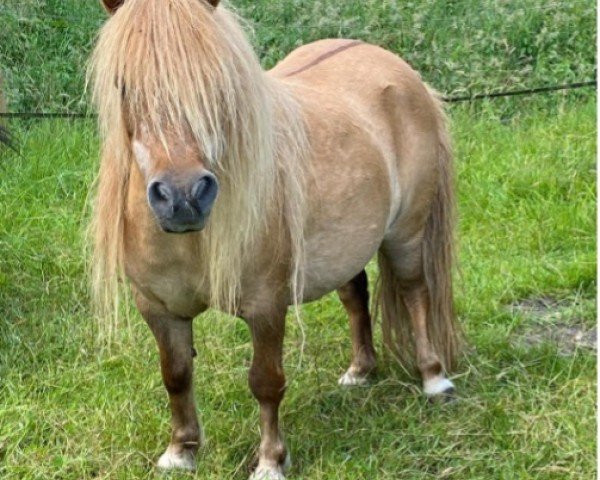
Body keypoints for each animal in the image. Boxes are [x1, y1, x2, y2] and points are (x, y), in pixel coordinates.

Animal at [88, 1, 460, 478]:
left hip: (405, 236)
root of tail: (396, 67)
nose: (183, 196)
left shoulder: (266, 306)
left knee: (416, 294)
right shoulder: (158, 308)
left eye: (219, 80)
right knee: (355, 294)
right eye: (124, 84)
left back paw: (434, 378)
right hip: (347, 244)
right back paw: (359, 372)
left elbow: (265, 382)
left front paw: (270, 461)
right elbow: (176, 375)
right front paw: (181, 451)